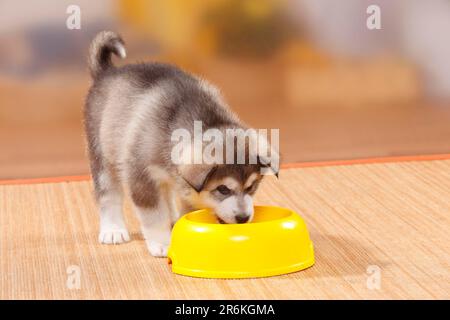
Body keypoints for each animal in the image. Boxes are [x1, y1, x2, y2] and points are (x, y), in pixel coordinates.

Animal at [84, 31, 278, 258]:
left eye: (251, 186)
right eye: (222, 189)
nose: (243, 218)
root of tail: (107, 72)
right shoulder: (141, 177)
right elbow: (153, 215)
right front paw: (161, 243)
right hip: (103, 154)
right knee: (108, 195)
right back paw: (113, 230)